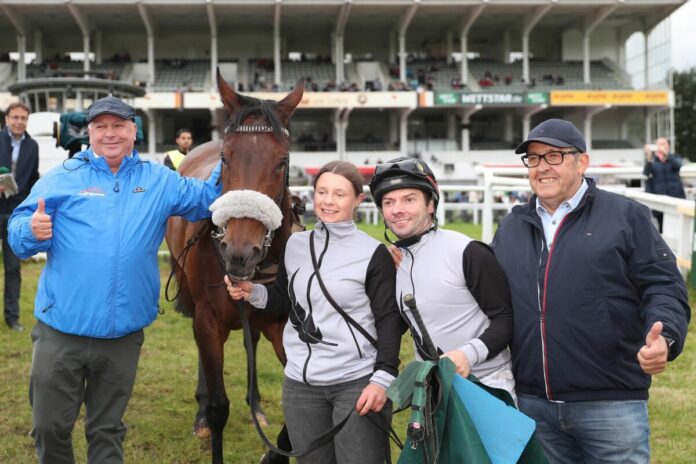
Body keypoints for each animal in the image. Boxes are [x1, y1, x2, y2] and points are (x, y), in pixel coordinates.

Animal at [166, 70, 304, 464]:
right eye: (226, 159)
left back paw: (255, 404)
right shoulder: (208, 319)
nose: (240, 251)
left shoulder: (281, 322)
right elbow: (218, 407)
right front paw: (207, 413)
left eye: (282, 161)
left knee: (250, 338)